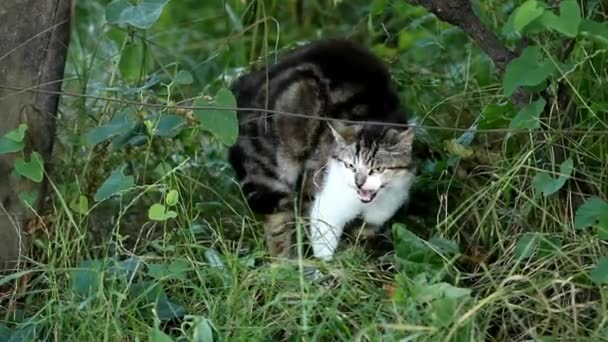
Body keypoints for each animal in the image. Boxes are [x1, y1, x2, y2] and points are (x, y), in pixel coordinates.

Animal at [228, 38, 418, 260]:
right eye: (350, 166)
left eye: (378, 169)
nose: (359, 182)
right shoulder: (323, 204)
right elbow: (323, 240)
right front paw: (326, 265)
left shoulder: (374, 219)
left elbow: (357, 243)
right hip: (270, 168)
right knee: (278, 220)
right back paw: (286, 262)